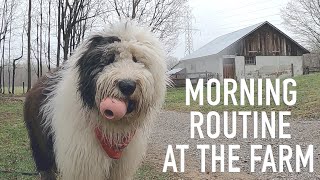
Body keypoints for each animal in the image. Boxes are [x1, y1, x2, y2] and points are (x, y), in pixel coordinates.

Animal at [23, 21, 168, 180]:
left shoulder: (120, 167)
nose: (127, 85)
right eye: (109, 59)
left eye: (136, 59)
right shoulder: (83, 162)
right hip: (40, 143)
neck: (111, 130)